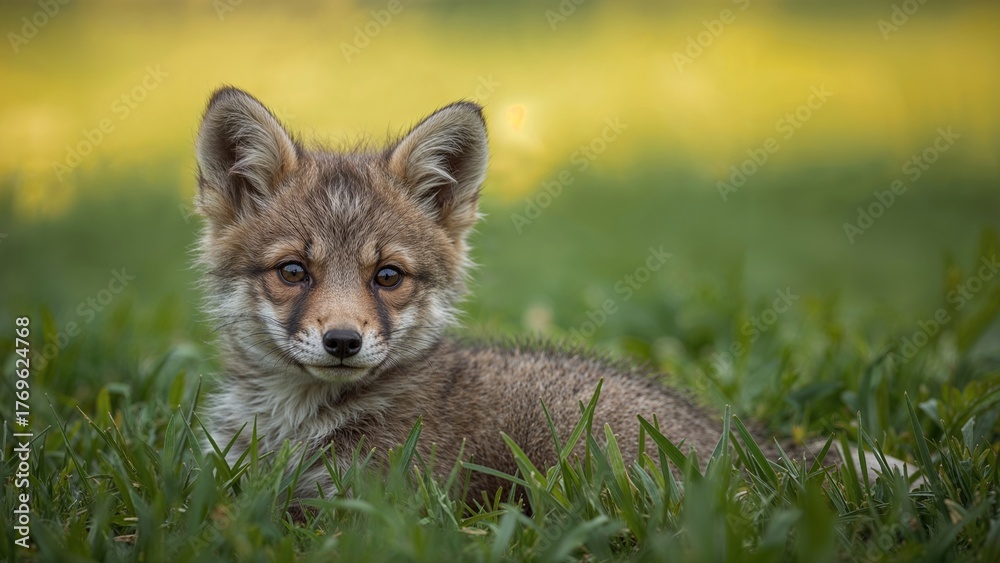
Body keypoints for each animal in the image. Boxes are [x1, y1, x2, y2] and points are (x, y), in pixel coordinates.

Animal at [194, 87, 897, 501]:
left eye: (387, 276)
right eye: (293, 271)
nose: (342, 341)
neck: (290, 425)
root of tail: (760, 448)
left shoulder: (365, 502)